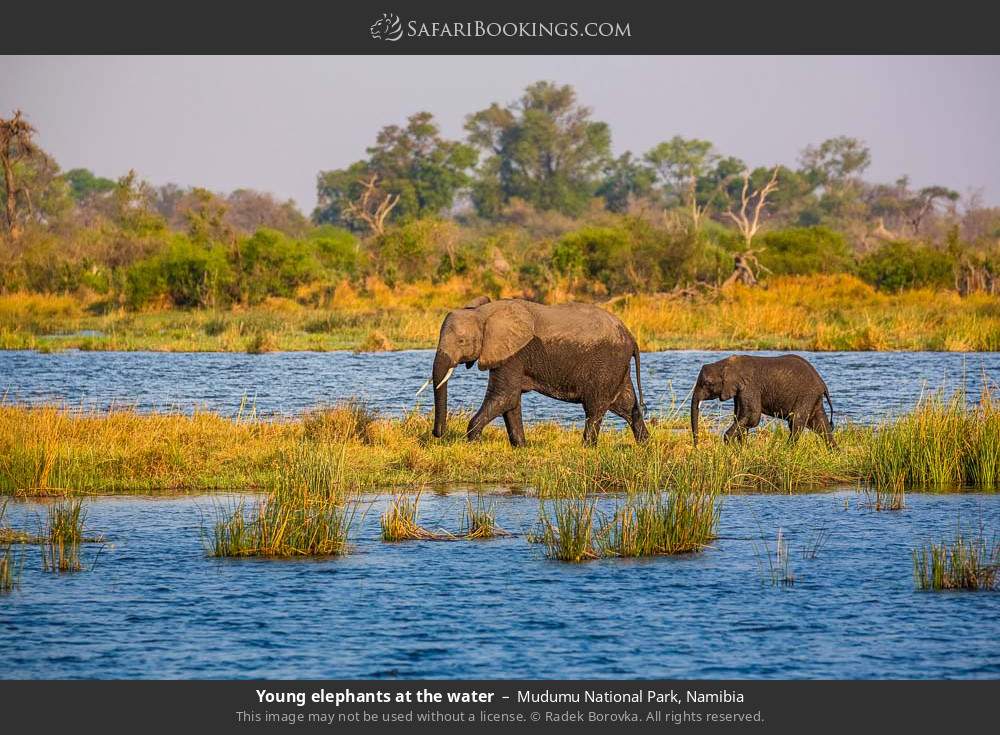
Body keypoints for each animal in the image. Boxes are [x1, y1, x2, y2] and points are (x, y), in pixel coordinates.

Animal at [420, 296, 648, 446]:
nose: (438, 433)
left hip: (606, 363)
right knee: (626, 404)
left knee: (595, 408)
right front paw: (520, 447)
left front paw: (473, 443)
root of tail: (631, 337)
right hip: (617, 366)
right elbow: (511, 402)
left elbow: (504, 396)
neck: (483, 313)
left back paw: (587, 448)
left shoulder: (514, 353)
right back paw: (644, 445)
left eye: (461, 341)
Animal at [688, 352, 836, 446]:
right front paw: (742, 448)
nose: (697, 447)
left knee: (796, 422)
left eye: (707, 383)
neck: (726, 364)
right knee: (820, 424)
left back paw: (787, 450)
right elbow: (740, 415)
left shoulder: (751, 386)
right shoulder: (740, 390)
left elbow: (752, 416)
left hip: (806, 395)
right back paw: (834, 453)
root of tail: (822, 384)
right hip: (812, 397)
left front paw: (729, 443)